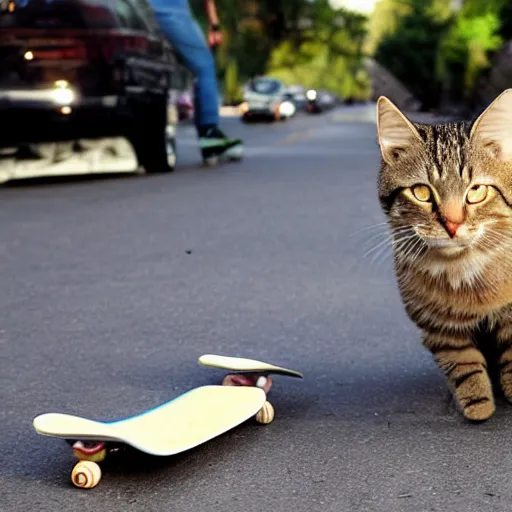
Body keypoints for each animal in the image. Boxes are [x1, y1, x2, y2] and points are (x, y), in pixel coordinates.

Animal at [374, 90, 512, 422]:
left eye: (476, 191)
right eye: (422, 193)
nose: (452, 224)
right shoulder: (440, 329)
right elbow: (464, 367)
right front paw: (478, 404)